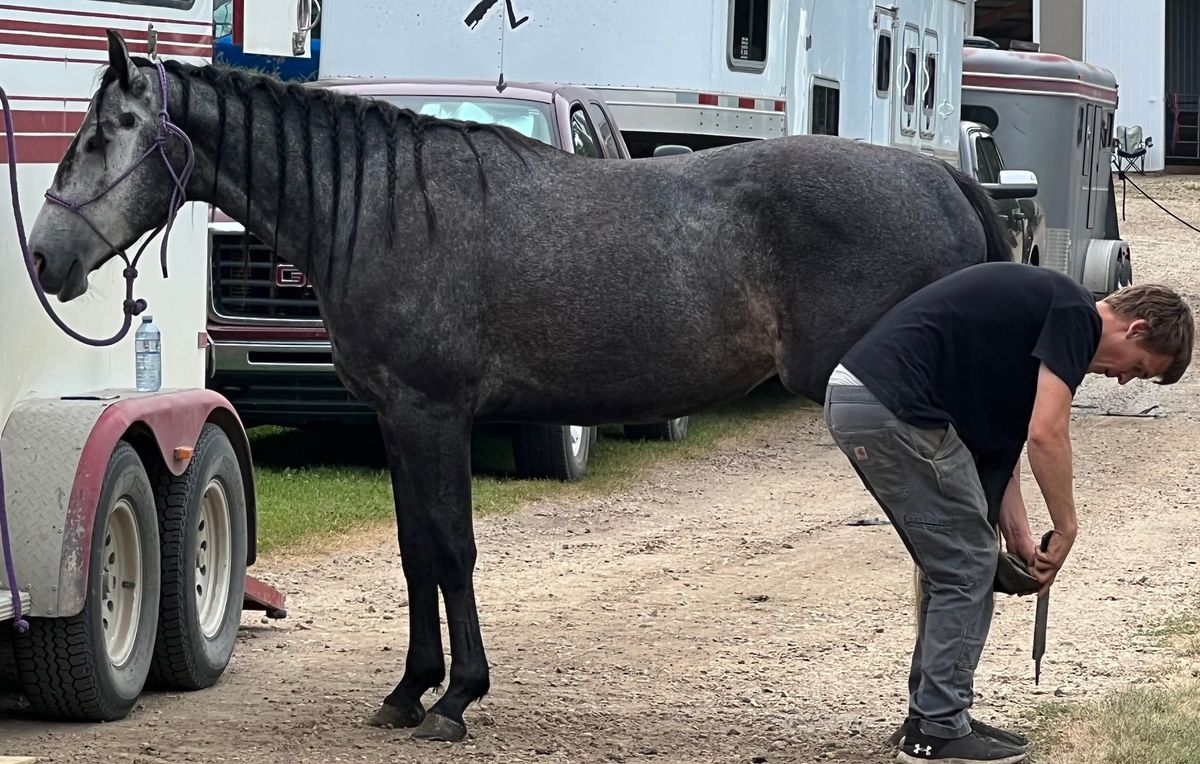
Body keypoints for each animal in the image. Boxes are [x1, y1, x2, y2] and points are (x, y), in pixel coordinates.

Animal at [28, 32, 1012, 743]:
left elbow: (454, 551)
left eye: (99, 136)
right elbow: (415, 552)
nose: (43, 257)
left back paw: (928, 724)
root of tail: (940, 175)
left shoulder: (435, 414)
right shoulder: (397, 420)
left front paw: (456, 700)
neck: (382, 207)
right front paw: (409, 690)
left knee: (947, 547)